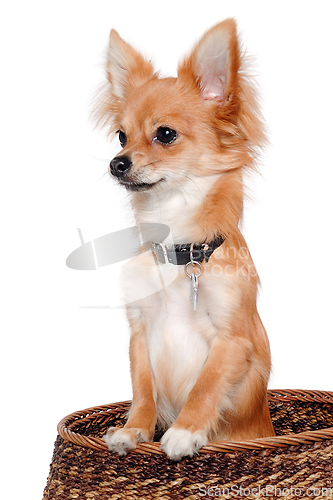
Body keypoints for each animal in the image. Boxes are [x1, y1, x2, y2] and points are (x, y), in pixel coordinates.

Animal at [98, 19, 274, 460]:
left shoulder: (233, 340)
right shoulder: (140, 330)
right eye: (121, 137)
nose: (116, 163)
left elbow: (206, 385)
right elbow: (143, 388)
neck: (178, 249)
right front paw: (134, 429)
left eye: (165, 134)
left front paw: (184, 431)